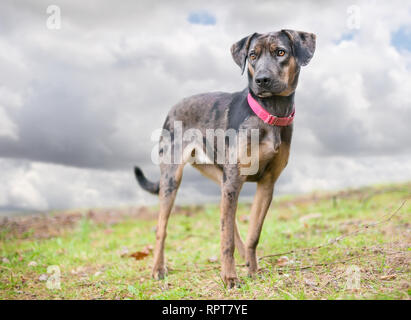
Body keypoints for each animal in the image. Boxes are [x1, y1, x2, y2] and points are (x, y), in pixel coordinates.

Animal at [134, 29, 318, 288]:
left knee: (229, 224)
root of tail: (172, 109)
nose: (261, 80)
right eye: (252, 55)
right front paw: (229, 277)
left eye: (281, 52)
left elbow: (252, 233)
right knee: (162, 228)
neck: (269, 112)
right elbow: (226, 238)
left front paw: (253, 270)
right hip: (173, 177)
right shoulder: (234, 179)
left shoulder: (267, 183)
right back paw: (159, 269)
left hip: (219, 175)